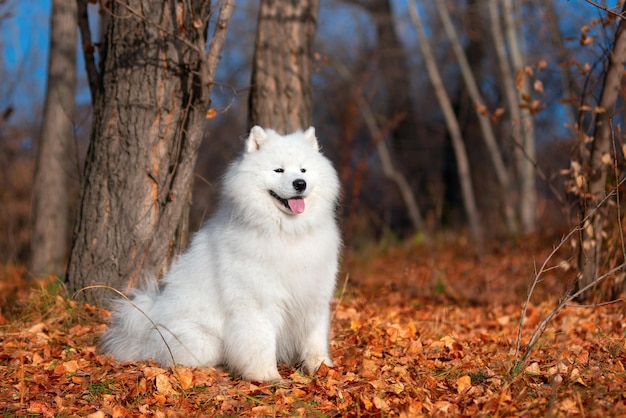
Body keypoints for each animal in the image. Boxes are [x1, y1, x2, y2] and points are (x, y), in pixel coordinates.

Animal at [99, 125, 338, 380]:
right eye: (279, 170)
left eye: (303, 169)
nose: (300, 183)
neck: (287, 232)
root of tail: (150, 326)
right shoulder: (256, 302)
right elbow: (261, 342)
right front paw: (266, 376)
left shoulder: (314, 297)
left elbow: (315, 340)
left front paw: (323, 368)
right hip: (204, 342)